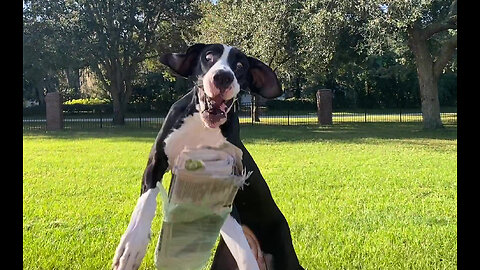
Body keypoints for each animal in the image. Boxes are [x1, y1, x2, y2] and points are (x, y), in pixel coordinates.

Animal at [110, 43, 302, 268]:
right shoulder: (156, 162)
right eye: (208, 57)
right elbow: (146, 202)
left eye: (240, 66)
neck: (202, 125)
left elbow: (243, 252)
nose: (223, 77)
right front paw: (131, 247)